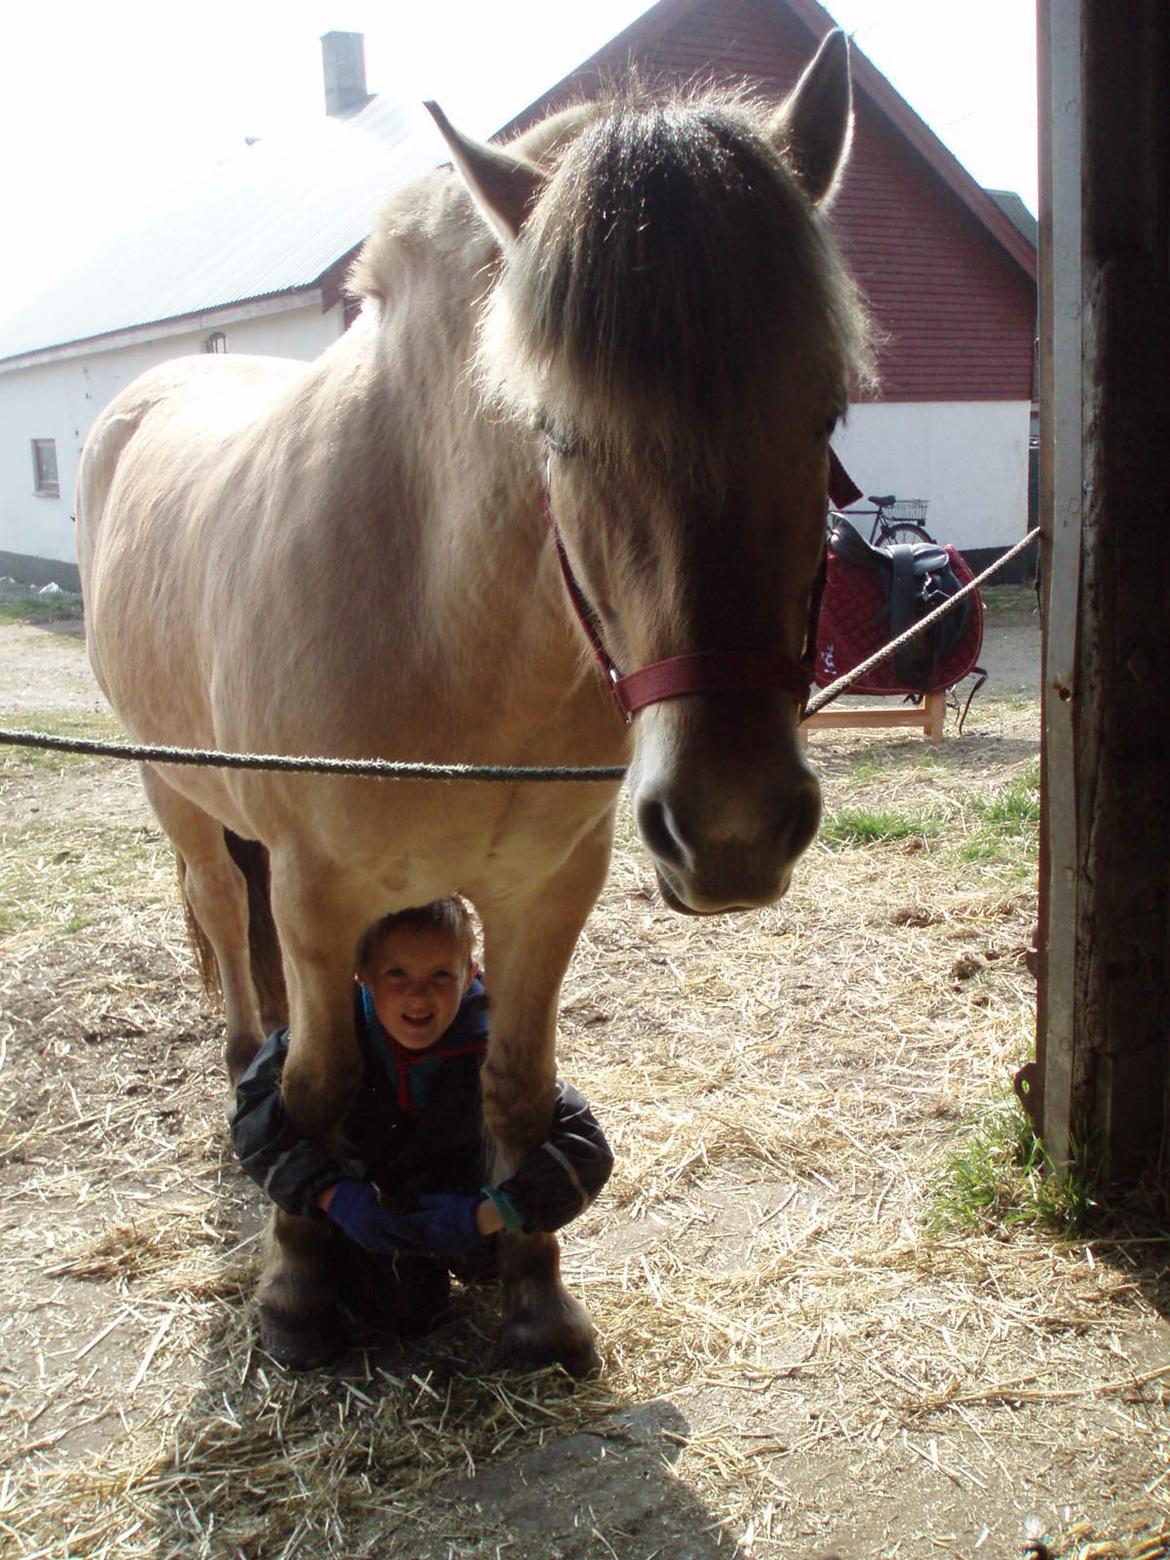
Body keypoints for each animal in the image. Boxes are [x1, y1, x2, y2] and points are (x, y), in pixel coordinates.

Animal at [73, 30, 873, 1379]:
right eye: (556, 432)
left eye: (826, 412)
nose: (732, 827)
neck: (440, 615)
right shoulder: (316, 890)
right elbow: (318, 1093)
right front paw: (300, 1294)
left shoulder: (550, 886)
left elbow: (517, 1088)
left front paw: (534, 1297)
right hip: (176, 794)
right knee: (224, 924)